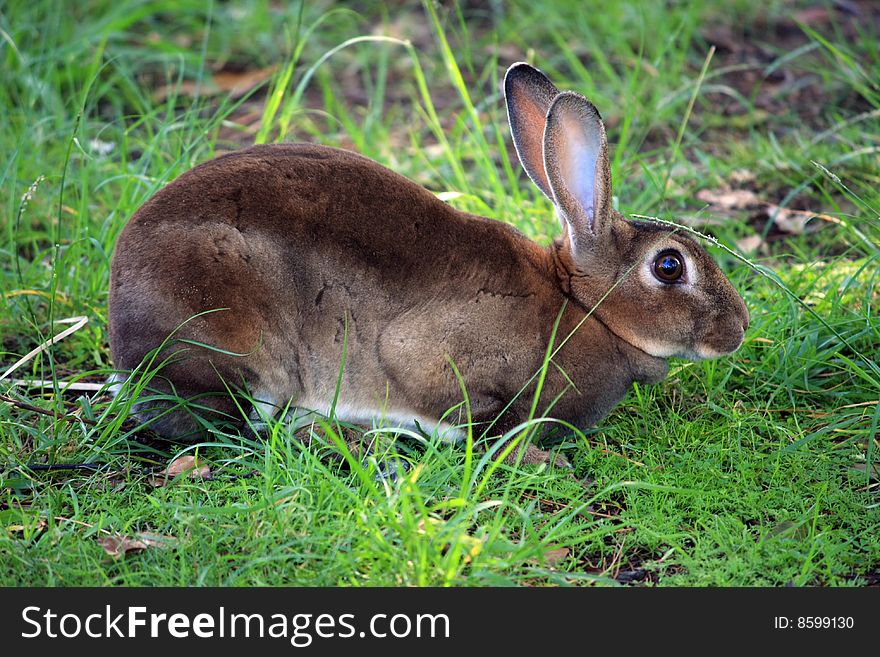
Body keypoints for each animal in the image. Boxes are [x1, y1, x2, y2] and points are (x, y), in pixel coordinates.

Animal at [106, 61, 744, 462]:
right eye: (669, 267)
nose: (738, 330)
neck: (584, 306)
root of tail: (122, 332)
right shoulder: (432, 355)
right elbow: (469, 411)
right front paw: (531, 456)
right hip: (237, 339)